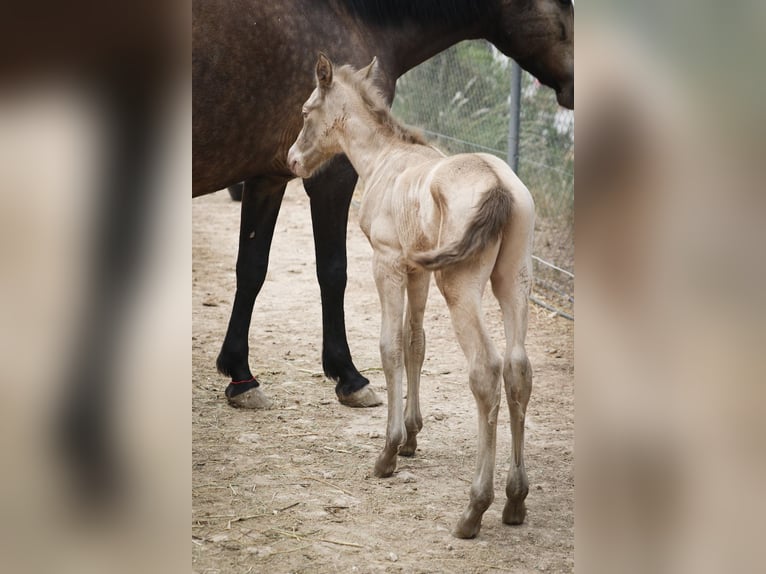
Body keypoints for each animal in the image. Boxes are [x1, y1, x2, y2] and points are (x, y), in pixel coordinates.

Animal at [195, 2, 572, 412]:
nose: (575, 87)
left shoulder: (269, 179)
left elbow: (253, 269)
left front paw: (241, 376)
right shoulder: (330, 177)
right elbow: (332, 272)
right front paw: (348, 376)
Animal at [286, 54, 536, 540]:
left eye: (306, 111)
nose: (292, 160)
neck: (385, 160)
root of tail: (497, 183)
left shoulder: (386, 263)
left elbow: (390, 346)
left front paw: (388, 450)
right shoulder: (417, 271)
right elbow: (415, 343)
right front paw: (413, 436)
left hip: (460, 286)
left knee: (486, 370)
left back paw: (475, 509)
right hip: (512, 280)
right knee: (518, 370)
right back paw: (515, 500)